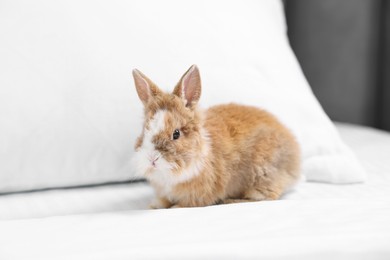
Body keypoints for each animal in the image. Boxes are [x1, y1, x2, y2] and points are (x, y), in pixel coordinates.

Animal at [132, 65, 302, 209]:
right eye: (145, 130)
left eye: (176, 134)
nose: (152, 159)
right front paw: (154, 205)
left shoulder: (198, 196)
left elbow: (185, 204)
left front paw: (174, 207)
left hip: (262, 175)